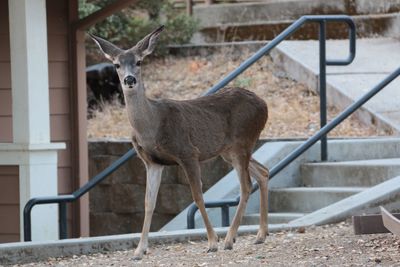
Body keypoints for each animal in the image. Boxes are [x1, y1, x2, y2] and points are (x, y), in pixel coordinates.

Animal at [91, 26, 268, 260]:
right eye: (116, 65)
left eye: (139, 61)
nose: (129, 80)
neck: (152, 125)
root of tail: (264, 104)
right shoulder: (151, 162)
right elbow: (148, 203)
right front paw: (139, 250)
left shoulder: (188, 152)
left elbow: (197, 196)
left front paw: (212, 242)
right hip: (229, 150)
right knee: (263, 172)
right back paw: (260, 235)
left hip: (243, 141)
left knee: (246, 184)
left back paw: (229, 239)